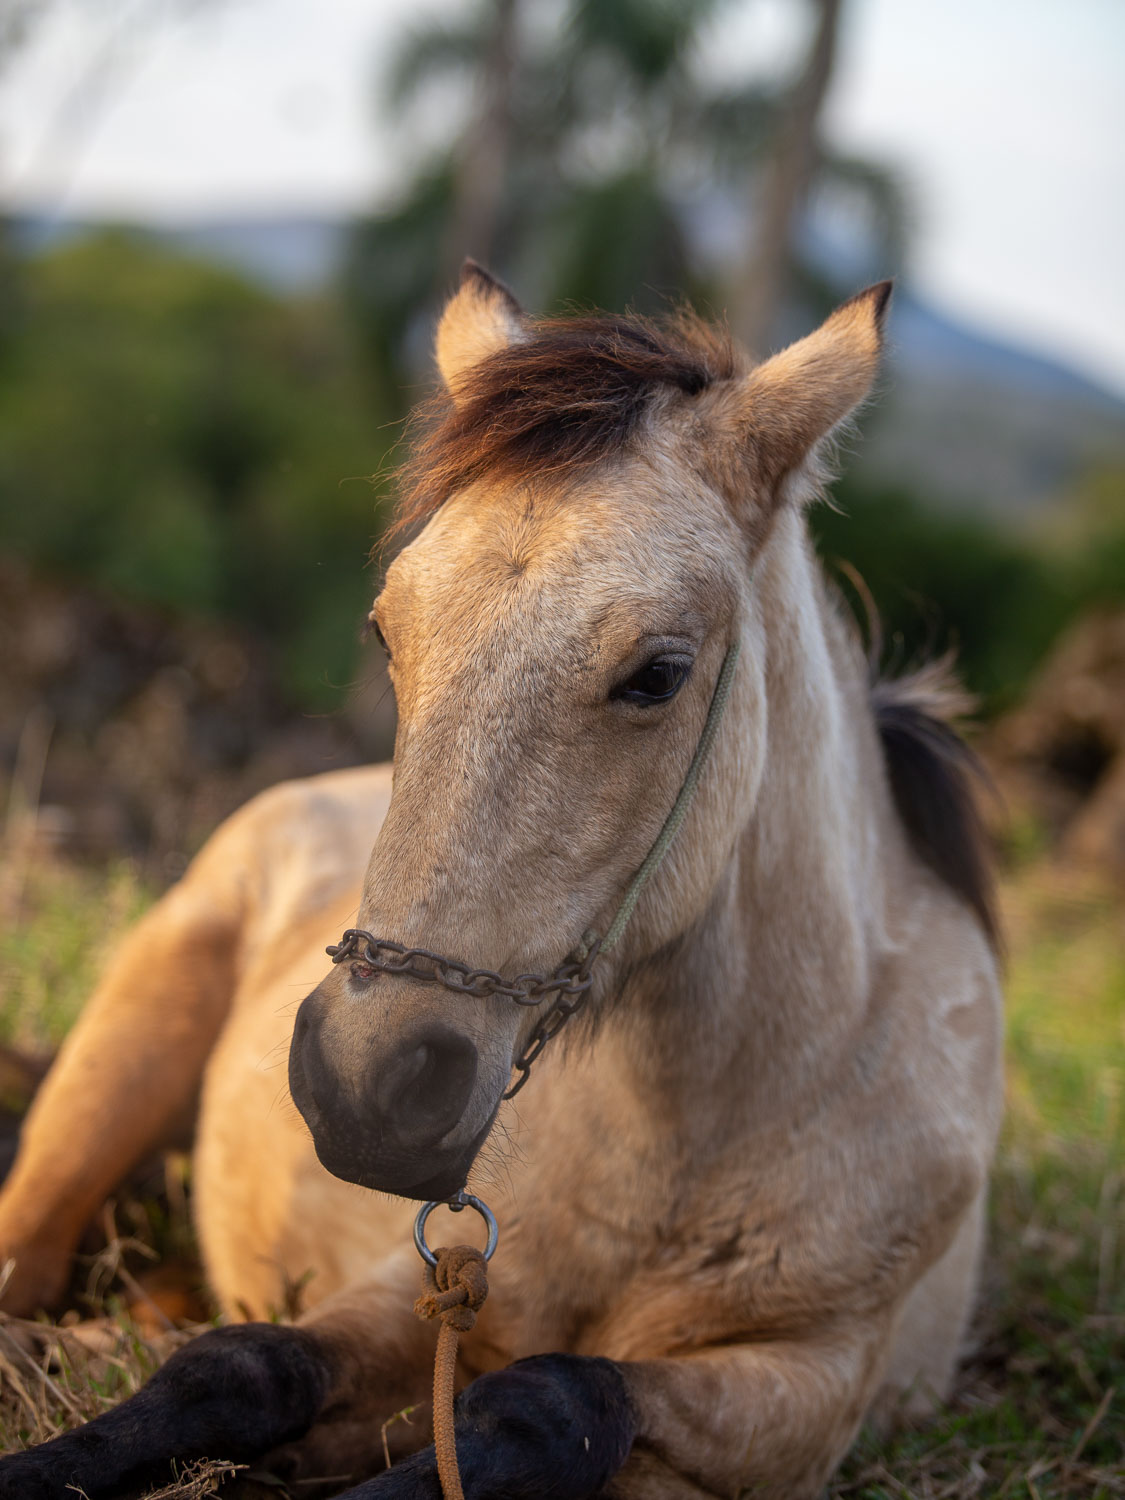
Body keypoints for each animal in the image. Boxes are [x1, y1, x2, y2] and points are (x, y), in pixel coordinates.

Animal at [0, 267, 1002, 1500]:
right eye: (388, 632)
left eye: (657, 674)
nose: (364, 1085)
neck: (676, 1145)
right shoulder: (413, 1288)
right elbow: (239, 1368)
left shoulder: (800, 1392)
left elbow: (544, 1401)